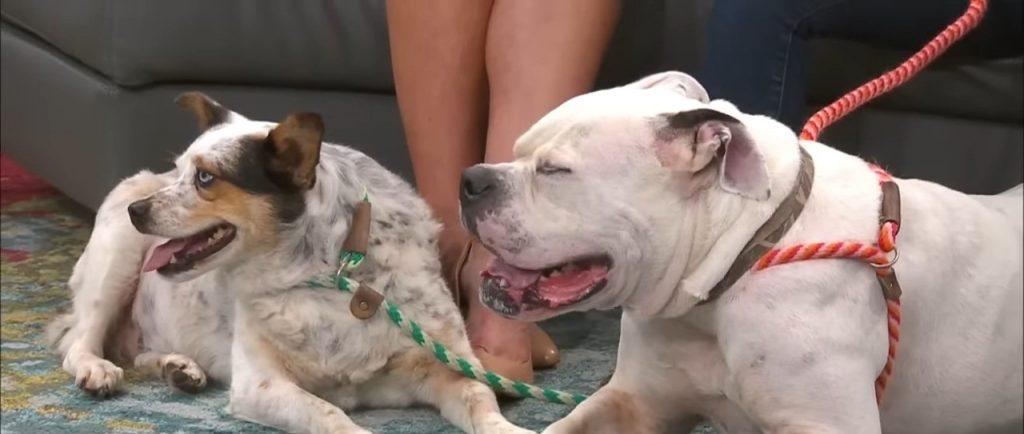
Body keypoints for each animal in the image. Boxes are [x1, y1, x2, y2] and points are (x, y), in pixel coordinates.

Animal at [47, 93, 532, 434]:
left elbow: (480, 400)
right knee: (79, 343)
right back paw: (97, 368)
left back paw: (179, 368)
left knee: (137, 351)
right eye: (181, 169)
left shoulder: (444, 368)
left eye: (205, 177)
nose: (139, 211)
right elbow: (330, 414)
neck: (327, 276)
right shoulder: (260, 385)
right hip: (118, 255)